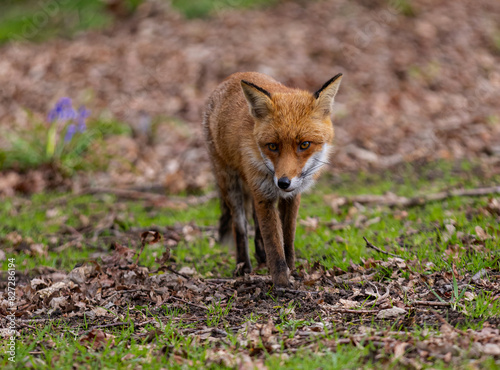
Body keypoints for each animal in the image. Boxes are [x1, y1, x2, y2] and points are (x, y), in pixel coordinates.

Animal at [202, 71, 340, 286]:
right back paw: (243, 266)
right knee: (240, 225)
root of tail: (234, 76)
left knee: (255, 219)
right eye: (273, 146)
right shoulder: (263, 194)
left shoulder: (291, 195)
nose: (283, 183)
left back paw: (260, 254)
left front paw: (291, 269)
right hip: (229, 181)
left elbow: (287, 237)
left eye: (304, 144)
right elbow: (274, 243)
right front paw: (282, 283)